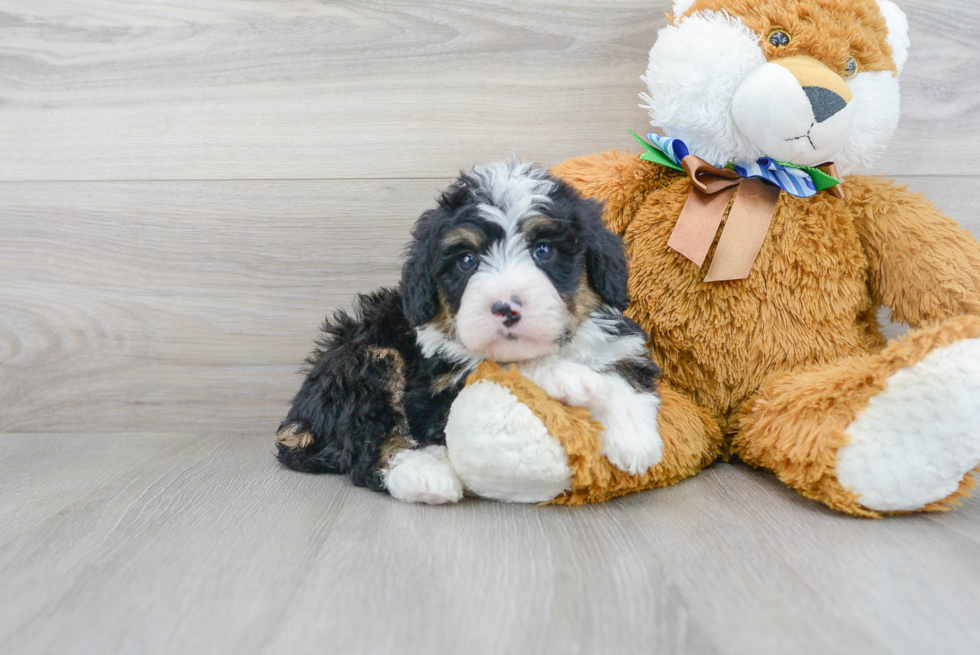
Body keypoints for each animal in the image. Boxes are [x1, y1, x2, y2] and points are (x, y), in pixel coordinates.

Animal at [274, 161, 668, 504]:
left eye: (543, 251)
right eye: (467, 261)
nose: (506, 307)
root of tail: (299, 420)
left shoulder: (617, 342)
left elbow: (622, 373)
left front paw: (634, 438)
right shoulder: (435, 391)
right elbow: (499, 369)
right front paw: (569, 378)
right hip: (366, 361)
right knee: (367, 441)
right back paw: (424, 474)